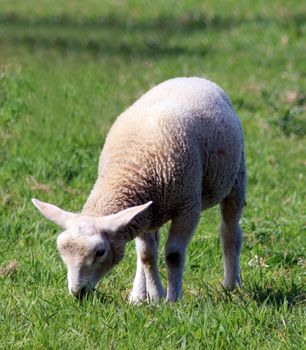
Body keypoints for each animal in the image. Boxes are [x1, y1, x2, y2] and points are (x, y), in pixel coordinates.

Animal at [31, 76, 246, 300]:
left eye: (100, 252)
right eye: (61, 250)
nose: (78, 292)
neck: (128, 170)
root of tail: (191, 78)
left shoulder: (187, 208)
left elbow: (174, 255)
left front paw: (173, 299)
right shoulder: (143, 210)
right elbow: (146, 256)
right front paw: (156, 297)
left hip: (236, 176)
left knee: (230, 231)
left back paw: (232, 284)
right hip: (153, 211)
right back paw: (139, 296)